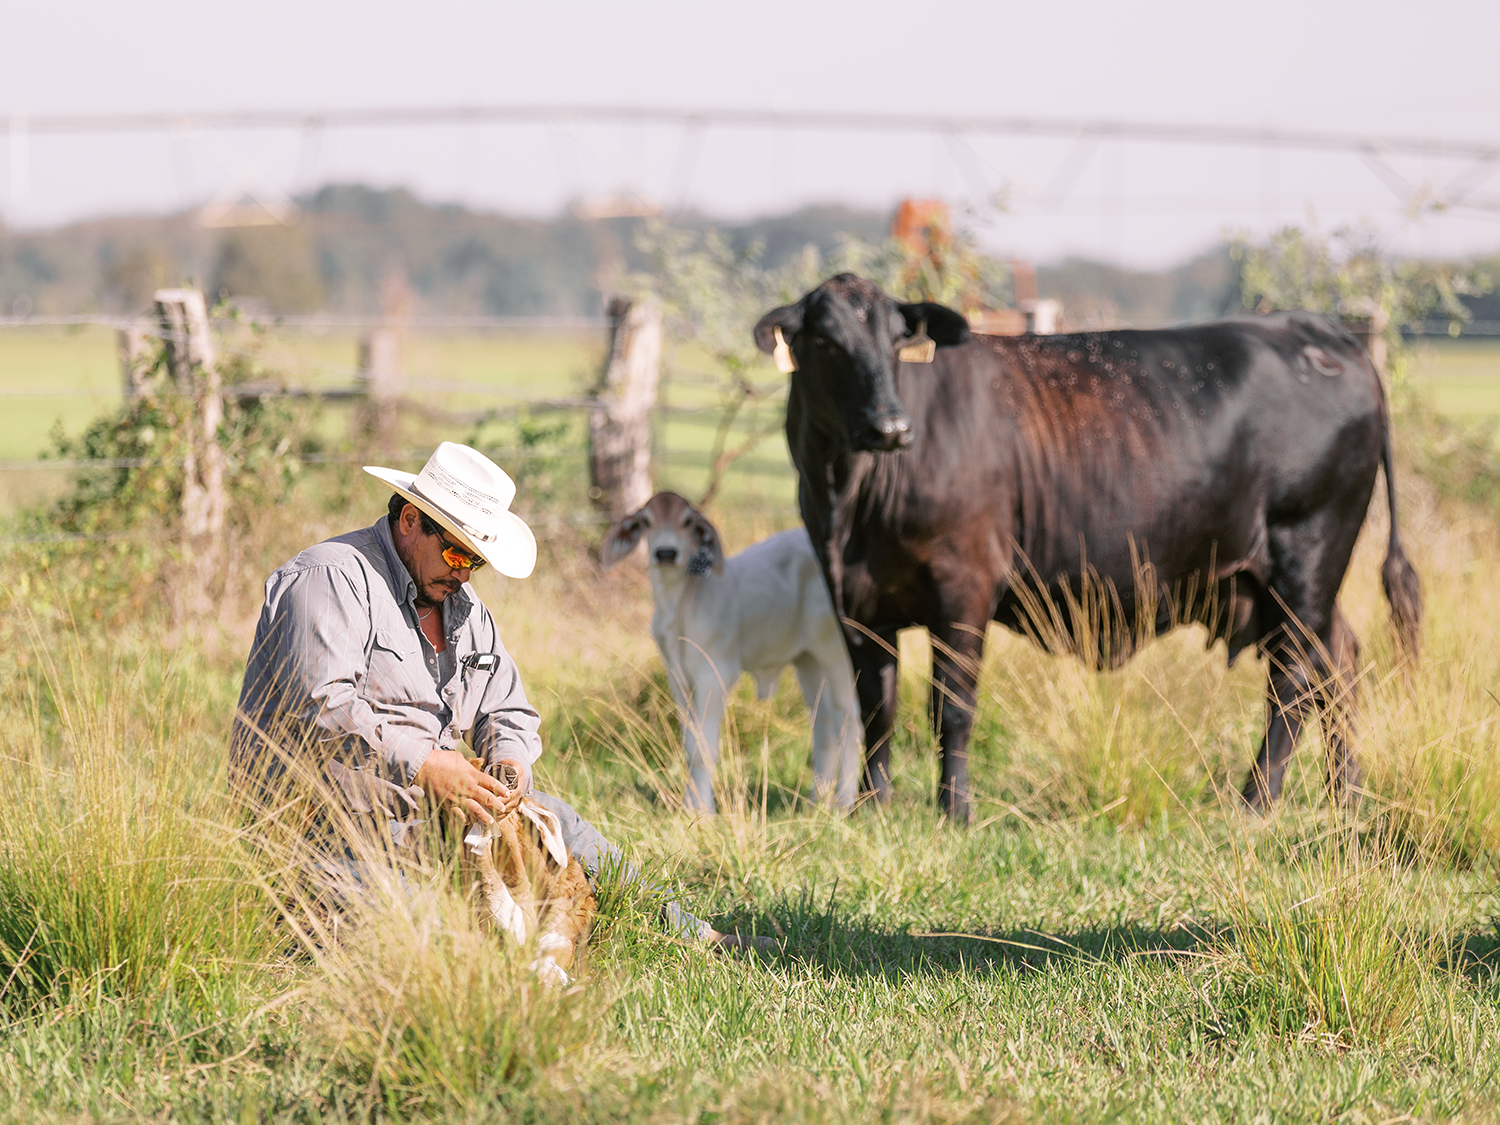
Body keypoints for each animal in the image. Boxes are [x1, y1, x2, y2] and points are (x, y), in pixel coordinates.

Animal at [594, 492, 858, 810]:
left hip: (836, 654)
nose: (665, 553)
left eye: (687, 521)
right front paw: (689, 805)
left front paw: (704, 809)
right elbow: (690, 744)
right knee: (824, 723)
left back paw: (844, 802)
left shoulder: (715, 673)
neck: (681, 603)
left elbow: (703, 749)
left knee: (849, 719)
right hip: (808, 660)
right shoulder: (678, 678)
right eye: (646, 521)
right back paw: (815, 800)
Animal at [756, 271, 1422, 822]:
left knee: (1293, 681)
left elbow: (953, 706)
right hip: (1285, 582)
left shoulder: (964, 587)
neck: (850, 503)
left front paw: (955, 812)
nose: (890, 426)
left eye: (897, 341)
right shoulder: (858, 602)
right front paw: (870, 807)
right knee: (1339, 661)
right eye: (825, 342)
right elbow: (877, 707)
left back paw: (1256, 802)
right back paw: (1346, 794)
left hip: (1305, 556)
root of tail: (1321, 331)